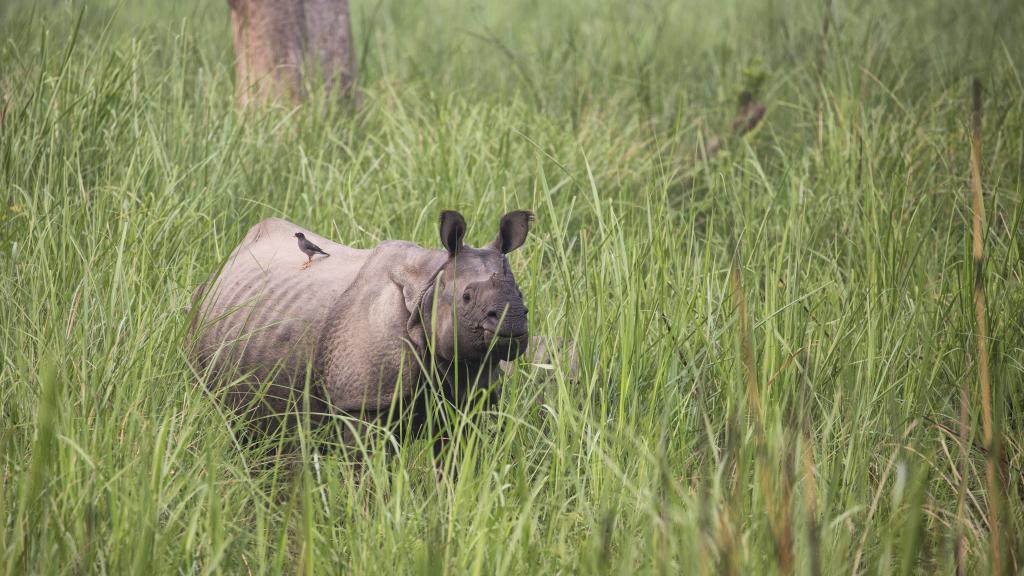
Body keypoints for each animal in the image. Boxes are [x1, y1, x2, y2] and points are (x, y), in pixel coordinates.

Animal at [189, 210, 532, 437]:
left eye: (521, 293)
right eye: (467, 297)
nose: (513, 318)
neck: (429, 284)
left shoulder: (468, 391)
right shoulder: (362, 401)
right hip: (201, 305)